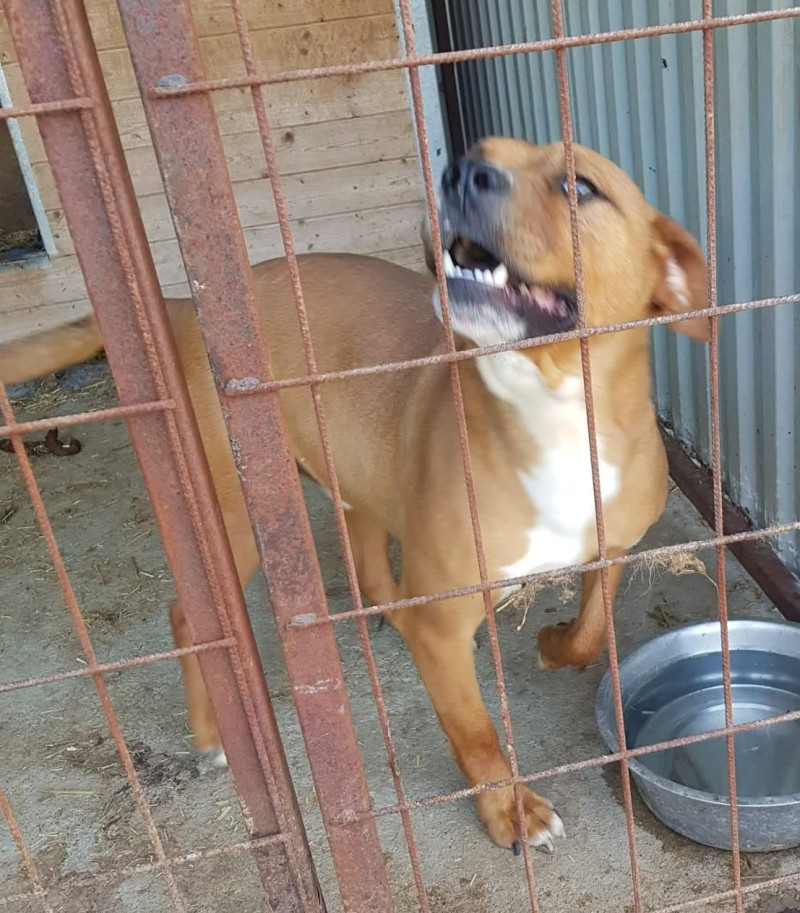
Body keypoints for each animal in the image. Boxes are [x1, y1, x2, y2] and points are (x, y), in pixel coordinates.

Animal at [0, 138, 709, 853]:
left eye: (580, 186)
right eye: (479, 152)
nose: (459, 172)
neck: (557, 405)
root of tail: (181, 307)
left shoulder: (613, 547)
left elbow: (592, 633)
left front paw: (553, 641)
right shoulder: (446, 622)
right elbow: (475, 731)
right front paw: (509, 809)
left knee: (368, 555)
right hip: (237, 517)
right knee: (191, 619)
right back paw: (211, 737)